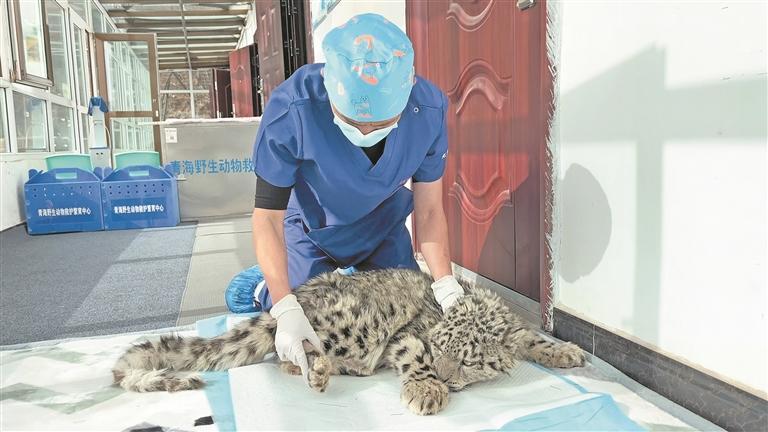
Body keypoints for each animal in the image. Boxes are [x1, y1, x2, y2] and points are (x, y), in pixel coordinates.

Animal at [112, 268, 585, 415]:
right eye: (440, 350)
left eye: (471, 362)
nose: (447, 377)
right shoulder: (408, 336)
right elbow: (413, 353)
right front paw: (427, 389)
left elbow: (532, 339)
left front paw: (565, 351)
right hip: (351, 328)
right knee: (287, 350)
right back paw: (316, 366)